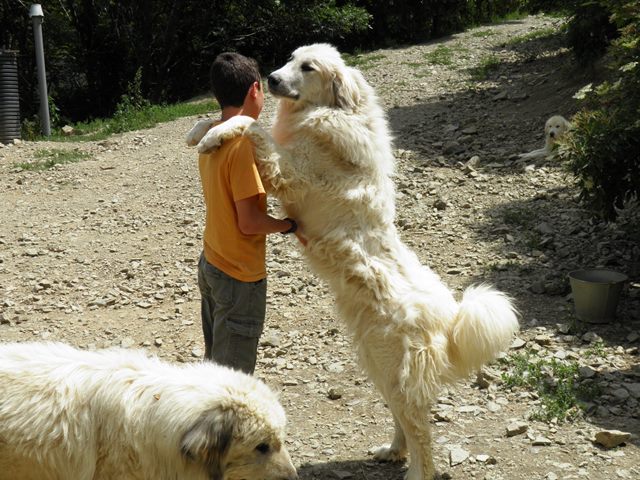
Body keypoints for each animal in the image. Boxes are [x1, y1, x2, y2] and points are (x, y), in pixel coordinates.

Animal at [190, 43, 520, 478]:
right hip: (380, 368)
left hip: (398, 373)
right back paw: (391, 451)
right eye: (291, 58)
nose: (272, 79)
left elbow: (250, 124)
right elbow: (237, 120)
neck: (331, 112)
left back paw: (416, 470)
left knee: (422, 432)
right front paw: (201, 130)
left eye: (308, 67)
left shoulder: (289, 171)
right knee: (402, 421)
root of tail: (451, 319)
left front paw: (215, 133)